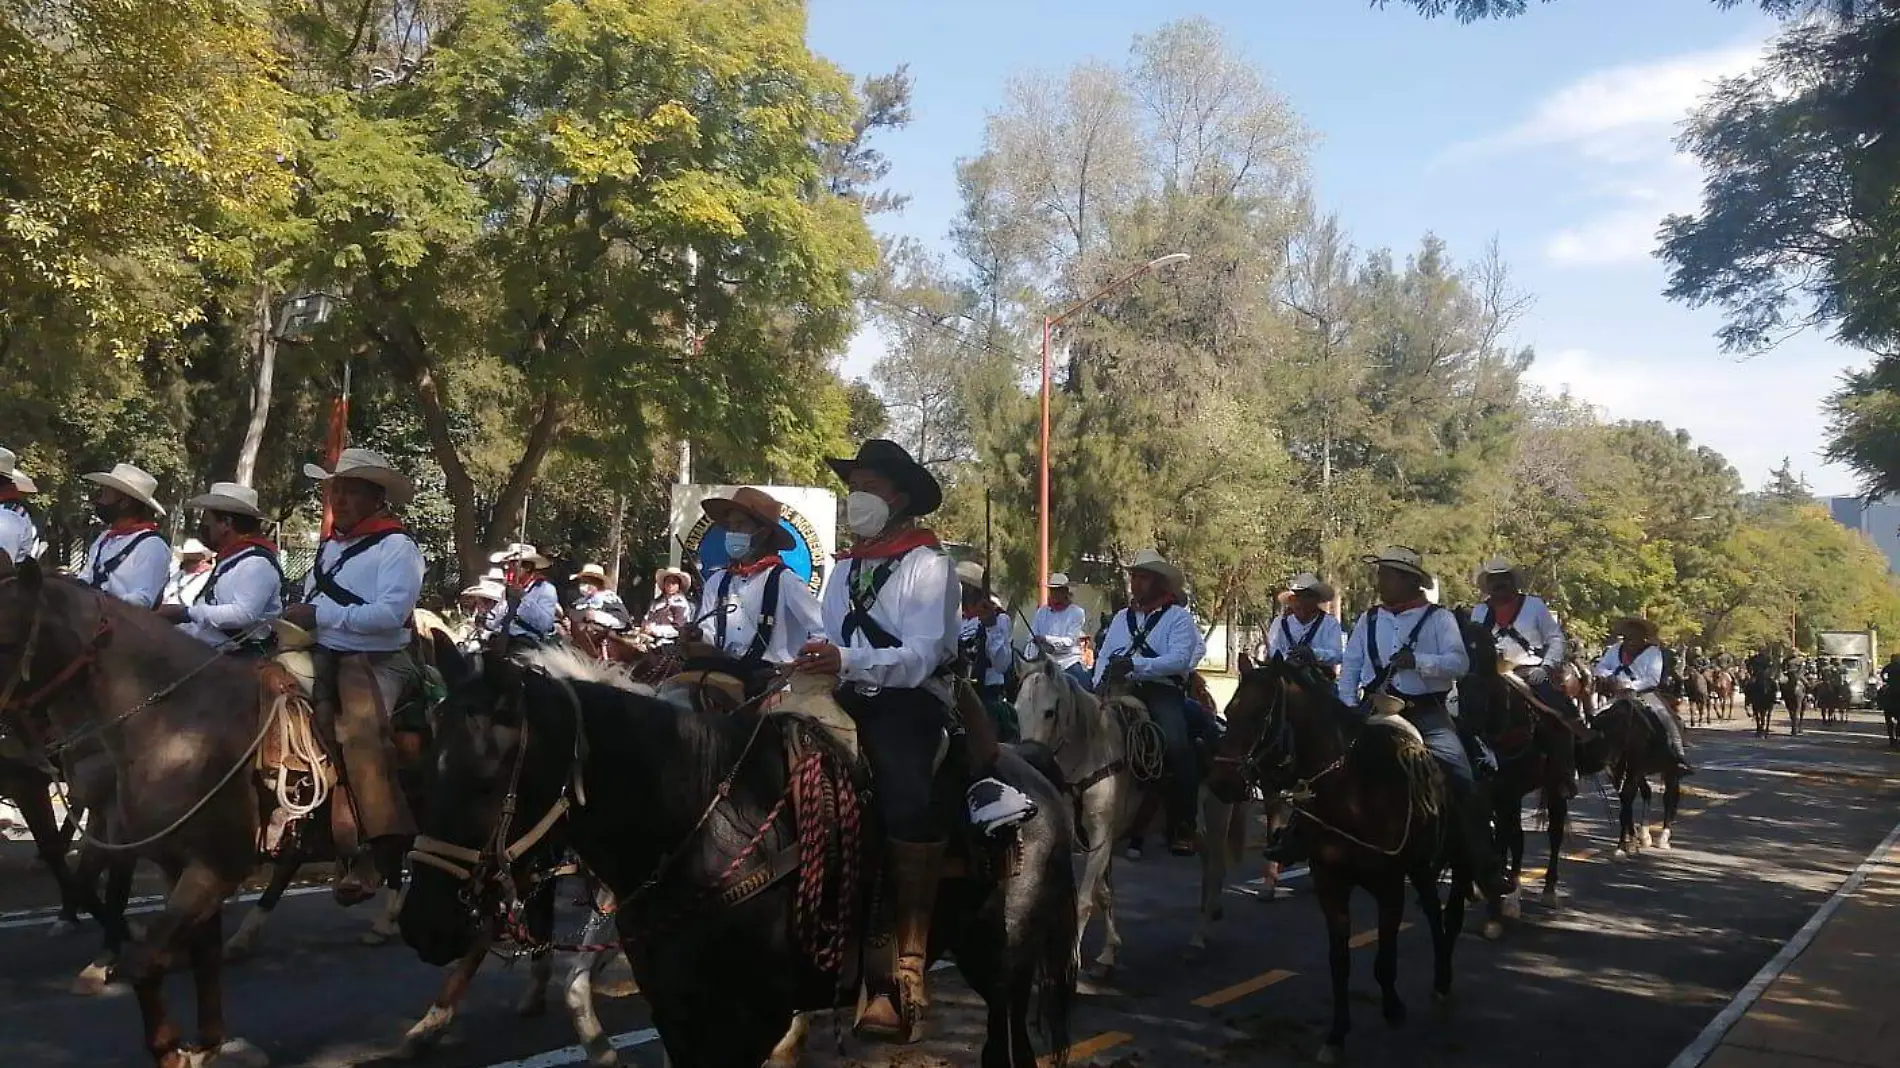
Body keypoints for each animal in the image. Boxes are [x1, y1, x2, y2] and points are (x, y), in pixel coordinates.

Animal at [400, 638, 1079, 1064]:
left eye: (487, 778)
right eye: (425, 767)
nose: (423, 927)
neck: (704, 825)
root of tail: (1033, 768)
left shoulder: (748, 1020)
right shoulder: (679, 1014)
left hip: (1006, 972)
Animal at [1018, 653, 1254, 969]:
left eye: (1049, 712)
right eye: (1017, 708)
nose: (1030, 761)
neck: (1090, 759)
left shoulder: (1101, 837)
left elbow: (1085, 899)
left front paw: (1075, 960)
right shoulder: (1087, 839)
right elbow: (1104, 893)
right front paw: (1109, 951)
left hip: (1217, 822)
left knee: (1215, 871)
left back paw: (1197, 939)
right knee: (1209, 871)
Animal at [1216, 653, 1466, 1056]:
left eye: (1259, 715)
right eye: (1229, 710)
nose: (1219, 783)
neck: (1353, 794)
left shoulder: (1389, 885)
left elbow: (1384, 957)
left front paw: (1393, 1008)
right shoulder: (1330, 882)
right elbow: (1340, 961)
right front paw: (1336, 1035)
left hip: (1446, 859)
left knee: (1444, 912)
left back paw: (1444, 980)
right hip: (1420, 867)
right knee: (1433, 910)